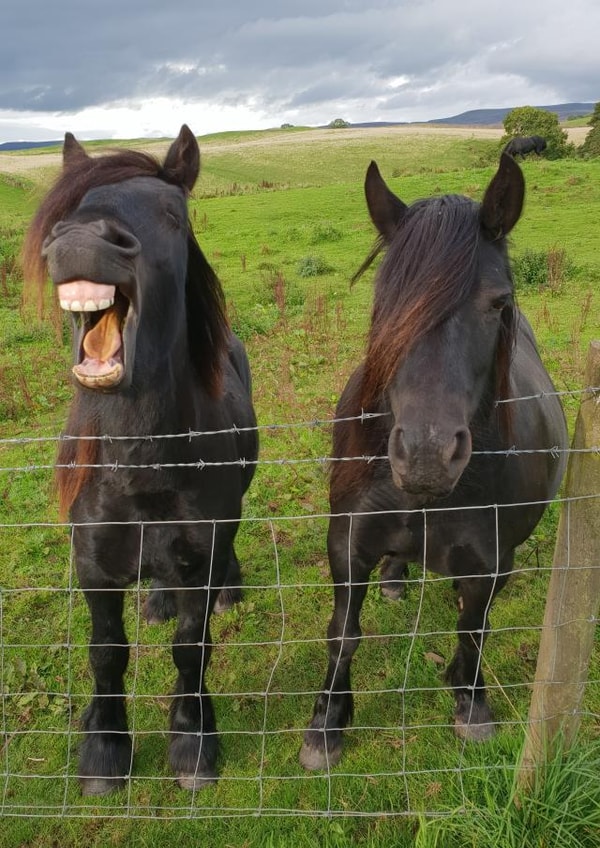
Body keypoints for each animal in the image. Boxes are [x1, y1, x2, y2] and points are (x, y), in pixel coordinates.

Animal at [23, 126, 258, 795]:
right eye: (71, 209)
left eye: (173, 215)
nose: (79, 240)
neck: (141, 468)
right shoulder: (93, 568)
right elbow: (106, 652)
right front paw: (103, 750)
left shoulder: (200, 557)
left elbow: (191, 648)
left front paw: (192, 744)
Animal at [299, 153, 567, 771]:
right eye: (384, 302)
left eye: (500, 303)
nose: (425, 455)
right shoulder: (346, 543)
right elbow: (343, 632)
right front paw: (326, 725)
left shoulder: (490, 561)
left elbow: (474, 628)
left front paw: (470, 703)